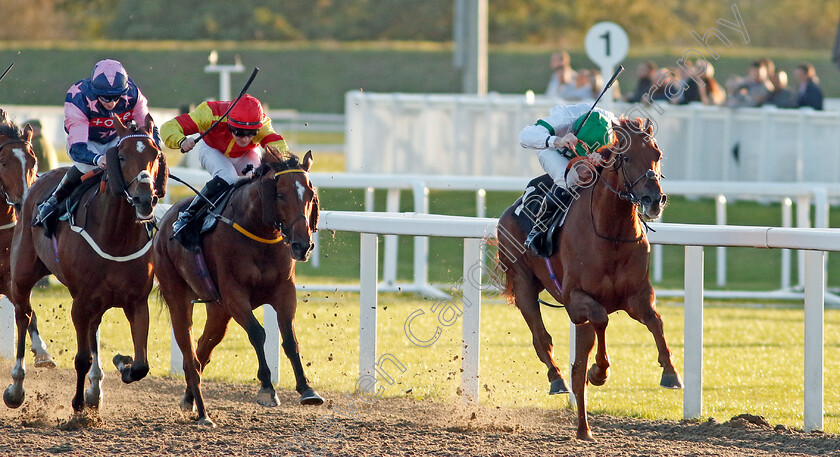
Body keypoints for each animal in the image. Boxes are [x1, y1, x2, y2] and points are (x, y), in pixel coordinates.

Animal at [3, 114, 167, 410]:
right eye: (121, 156)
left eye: (155, 155)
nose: (144, 199)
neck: (115, 237)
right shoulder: (80, 301)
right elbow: (81, 358)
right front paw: (78, 404)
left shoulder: (137, 301)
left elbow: (141, 366)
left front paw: (121, 363)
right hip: (21, 274)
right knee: (23, 315)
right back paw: (17, 387)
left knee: (94, 328)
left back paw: (95, 387)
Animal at [153, 148, 324, 426]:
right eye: (280, 194)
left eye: (310, 194)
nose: (302, 245)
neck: (258, 232)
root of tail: (166, 220)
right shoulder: (235, 295)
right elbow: (257, 333)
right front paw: (267, 388)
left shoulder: (284, 291)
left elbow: (290, 338)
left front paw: (307, 389)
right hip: (178, 298)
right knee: (189, 351)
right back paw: (201, 410)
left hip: (218, 310)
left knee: (203, 348)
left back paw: (189, 399)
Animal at [498, 116, 684, 438]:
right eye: (626, 157)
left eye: (658, 154)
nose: (654, 199)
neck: (611, 234)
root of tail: (511, 209)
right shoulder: (576, 300)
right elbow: (601, 319)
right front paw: (599, 372)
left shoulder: (638, 296)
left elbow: (656, 322)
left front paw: (670, 372)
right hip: (523, 286)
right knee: (542, 338)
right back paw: (557, 379)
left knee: (576, 365)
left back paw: (583, 429)